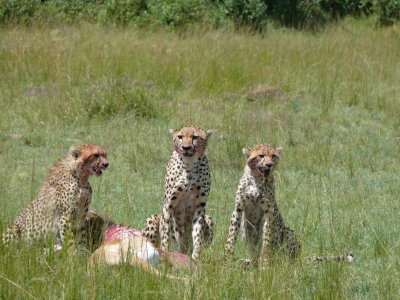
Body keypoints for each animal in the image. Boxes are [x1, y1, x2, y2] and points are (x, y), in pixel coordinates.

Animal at [143, 125, 214, 258]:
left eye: (195, 137)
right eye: (180, 136)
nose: (186, 147)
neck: (189, 165)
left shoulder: (200, 207)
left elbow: (197, 234)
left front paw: (195, 256)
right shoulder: (169, 205)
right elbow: (168, 233)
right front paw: (166, 253)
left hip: (209, 219)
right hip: (151, 220)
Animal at [225, 144, 354, 264]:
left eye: (273, 156)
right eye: (261, 156)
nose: (269, 164)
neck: (256, 179)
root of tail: (298, 258)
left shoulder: (269, 212)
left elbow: (267, 240)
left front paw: (265, 263)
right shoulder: (238, 209)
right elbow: (231, 237)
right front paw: (227, 260)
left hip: (288, 232)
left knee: (285, 259)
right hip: (245, 228)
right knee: (255, 257)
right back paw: (247, 262)